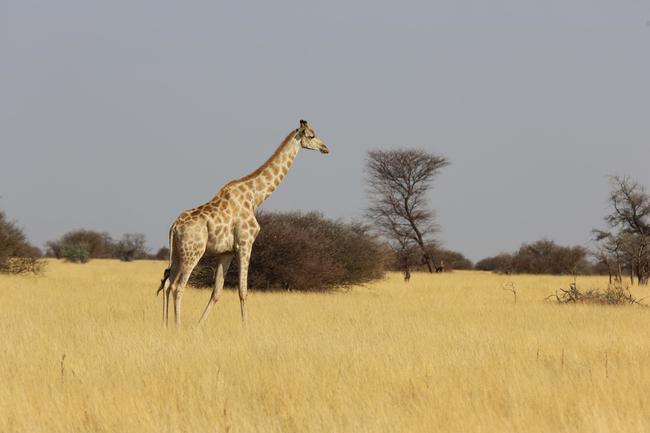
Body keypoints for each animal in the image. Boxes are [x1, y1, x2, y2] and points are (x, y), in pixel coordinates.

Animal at [156, 118, 326, 324]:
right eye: (312, 135)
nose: (326, 148)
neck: (255, 197)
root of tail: (174, 227)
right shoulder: (245, 243)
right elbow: (243, 290)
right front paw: (246, 327)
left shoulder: (226, 251)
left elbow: (217, 292)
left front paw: (199, 326)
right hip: (193, 252)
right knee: (178, 286)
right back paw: (177, 325)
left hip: (177, 253)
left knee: (167, 284)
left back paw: (165, 325)